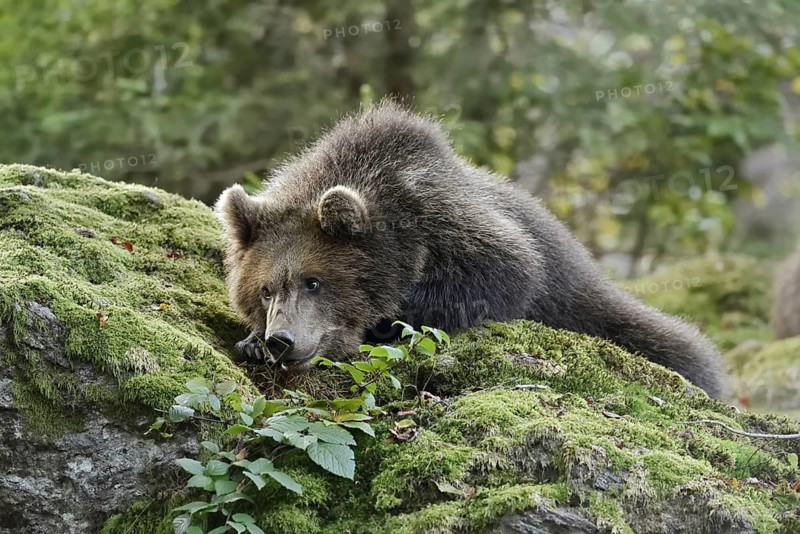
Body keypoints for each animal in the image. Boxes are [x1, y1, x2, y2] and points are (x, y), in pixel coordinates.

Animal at [215, 102, 727, 398]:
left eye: (314, 281)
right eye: (265, 290)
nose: (281, 339)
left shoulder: (450, 223)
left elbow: (505, 271)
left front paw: (383, 325)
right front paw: (251, 343)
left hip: (591, 305)